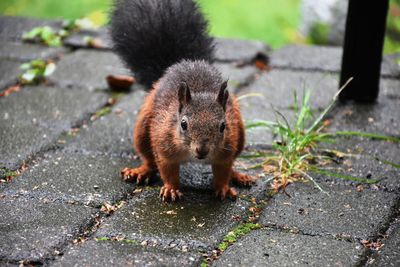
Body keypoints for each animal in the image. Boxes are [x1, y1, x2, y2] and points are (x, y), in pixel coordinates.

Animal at [111, 0, 258, 201]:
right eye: (183, 124)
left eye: (223, 126)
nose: (202, 150)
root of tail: (181, 62)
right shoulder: (164, 142)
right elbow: (167, 169)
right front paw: (171, 189)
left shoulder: (226, 149)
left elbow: (223, 170)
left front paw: (223, 188)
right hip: (143, 129)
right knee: (149, 159)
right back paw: (141, 171)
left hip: (240, 135)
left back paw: (238, 176)